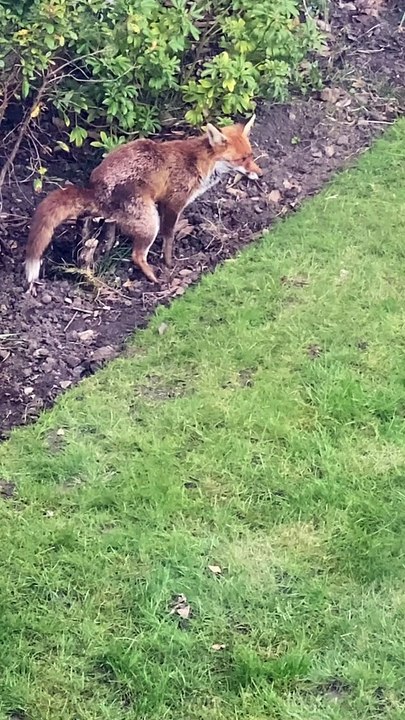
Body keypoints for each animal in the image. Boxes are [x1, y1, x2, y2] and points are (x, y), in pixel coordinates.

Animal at [25, 115, 262, 292]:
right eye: (241, 160)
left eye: (251, 156)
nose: (260, 174)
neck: (200, 163)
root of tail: (95, 188)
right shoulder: (174, 203)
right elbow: (168, 237)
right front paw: (169, 263)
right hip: (150, 222)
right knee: (137, 255)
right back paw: (153, 278)